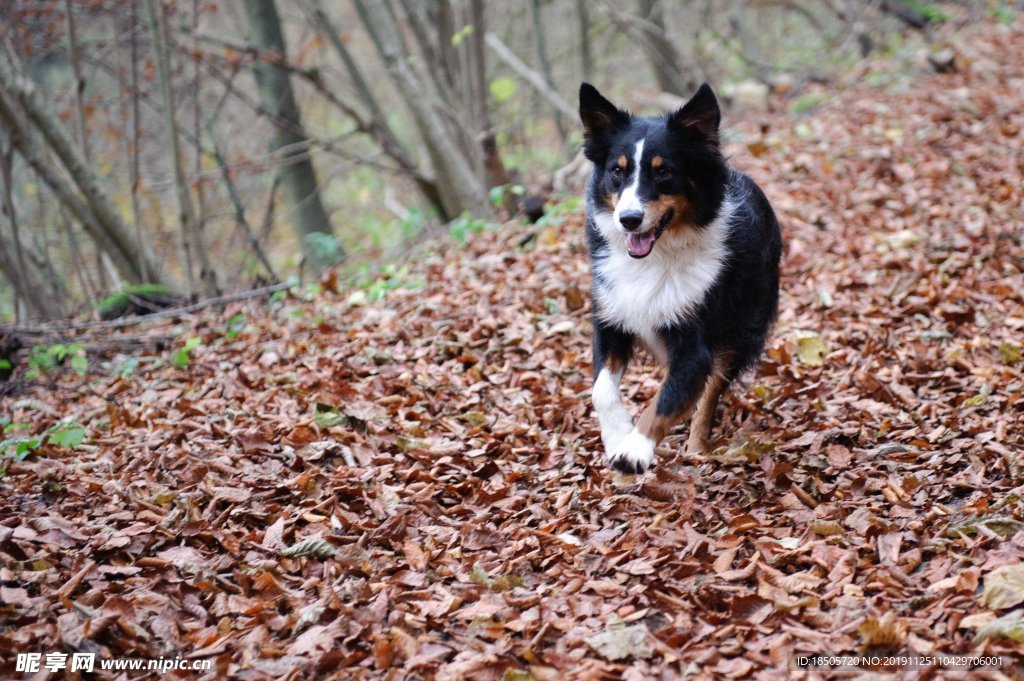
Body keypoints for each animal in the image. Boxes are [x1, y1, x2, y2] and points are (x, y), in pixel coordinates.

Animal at [581, 80, 778, 473]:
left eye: (663, 172)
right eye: (617, 171)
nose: (628, 220)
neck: (658, 256)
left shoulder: (694, 345)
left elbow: (666, 399)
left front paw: (635, 449)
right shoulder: (611, 320)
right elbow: (602, 390)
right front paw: (617, 435)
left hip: (739, 330)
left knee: (711, 391)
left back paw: (697, 446)